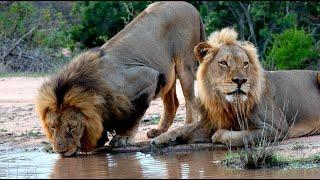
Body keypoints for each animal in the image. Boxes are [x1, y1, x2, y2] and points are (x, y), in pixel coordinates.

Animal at [35, 1, 205, 156]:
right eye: (52, 127)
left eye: (72, 128)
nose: (60, 151)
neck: (94, 87)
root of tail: (191, 6)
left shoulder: (147, 77)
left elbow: (133, 116)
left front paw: (122, 138)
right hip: (168, 75)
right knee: (173, 103)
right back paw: (158, 131)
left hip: (184, 64)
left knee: (190, 100)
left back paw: (185, 126)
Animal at [151, 27, 320, 148]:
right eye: (223, 63)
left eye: (245, 63)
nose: (240, 80)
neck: (229, 105)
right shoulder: (211, 121)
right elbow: (184, 128)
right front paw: (160, 138)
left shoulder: (277, 128)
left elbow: (242, 136)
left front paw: (217, 135)